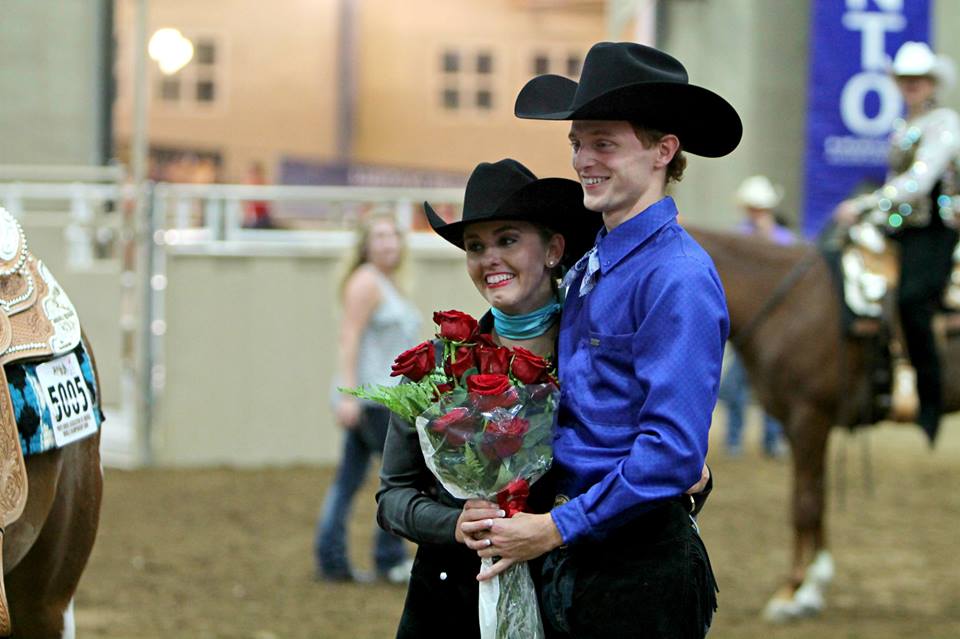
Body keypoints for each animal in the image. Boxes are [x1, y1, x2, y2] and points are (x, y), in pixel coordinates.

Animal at [688, 229, 960, 624]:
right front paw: (813, 589)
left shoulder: (808, 418)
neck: (789, 306)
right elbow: (818, 496)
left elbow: (805, 503)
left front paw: (792, 593)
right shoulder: (805, 425)